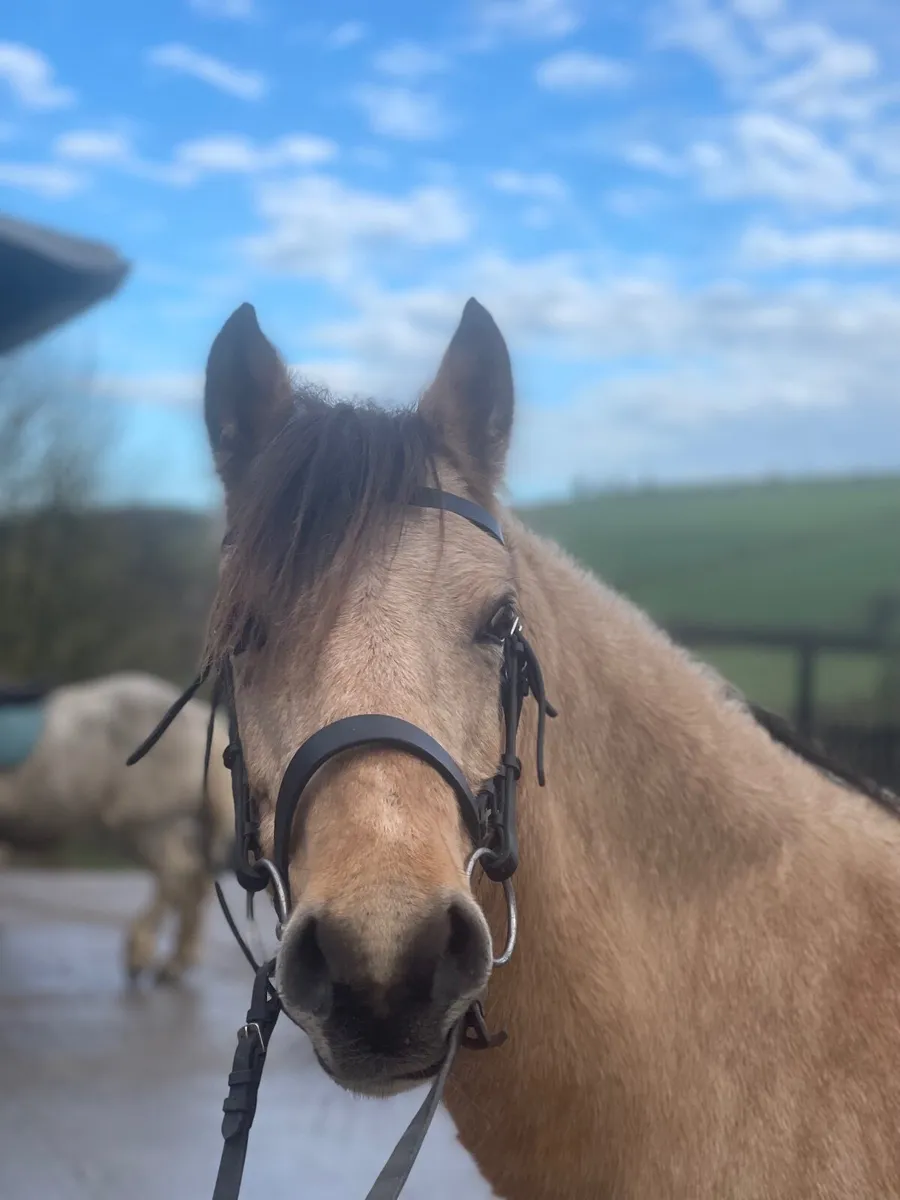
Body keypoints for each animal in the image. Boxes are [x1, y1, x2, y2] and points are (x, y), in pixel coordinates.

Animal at [0, 671, 234, 983]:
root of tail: (202, 719)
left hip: (146, 823)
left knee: (175, 874)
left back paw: (139, 954)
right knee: (197, 878)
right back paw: (174, 963)